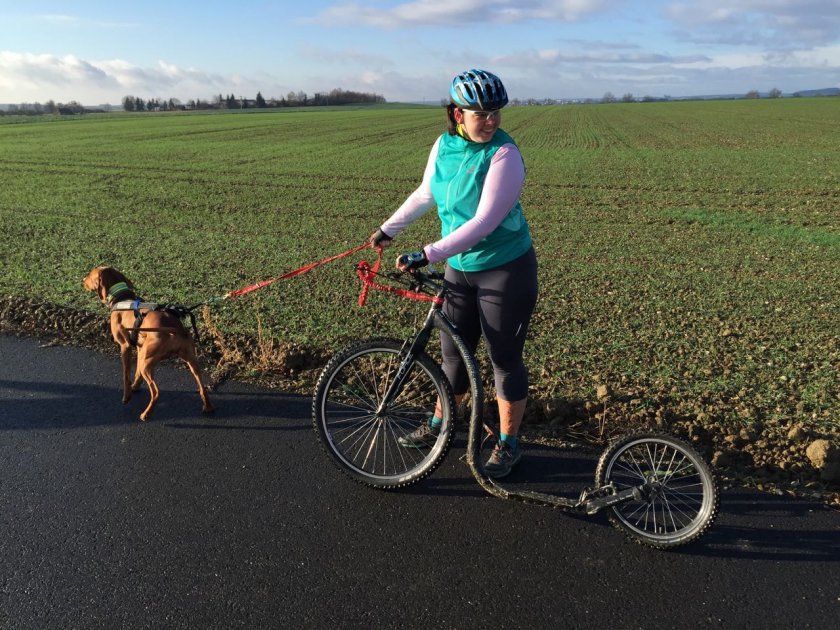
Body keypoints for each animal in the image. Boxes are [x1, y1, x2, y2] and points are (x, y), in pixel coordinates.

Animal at [83, 264, 213, 422]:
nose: (82, 280)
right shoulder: (140, 348)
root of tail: (175, 329)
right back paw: (208, 406)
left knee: (156, 392)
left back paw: (146, 414)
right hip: (189, 361)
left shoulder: (125, 346)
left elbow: (126, 375)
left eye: (90, 274)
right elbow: (137, 371)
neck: (122, 298)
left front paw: (126, 396)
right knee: (201, 385)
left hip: (148, 363)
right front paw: (135, 386)